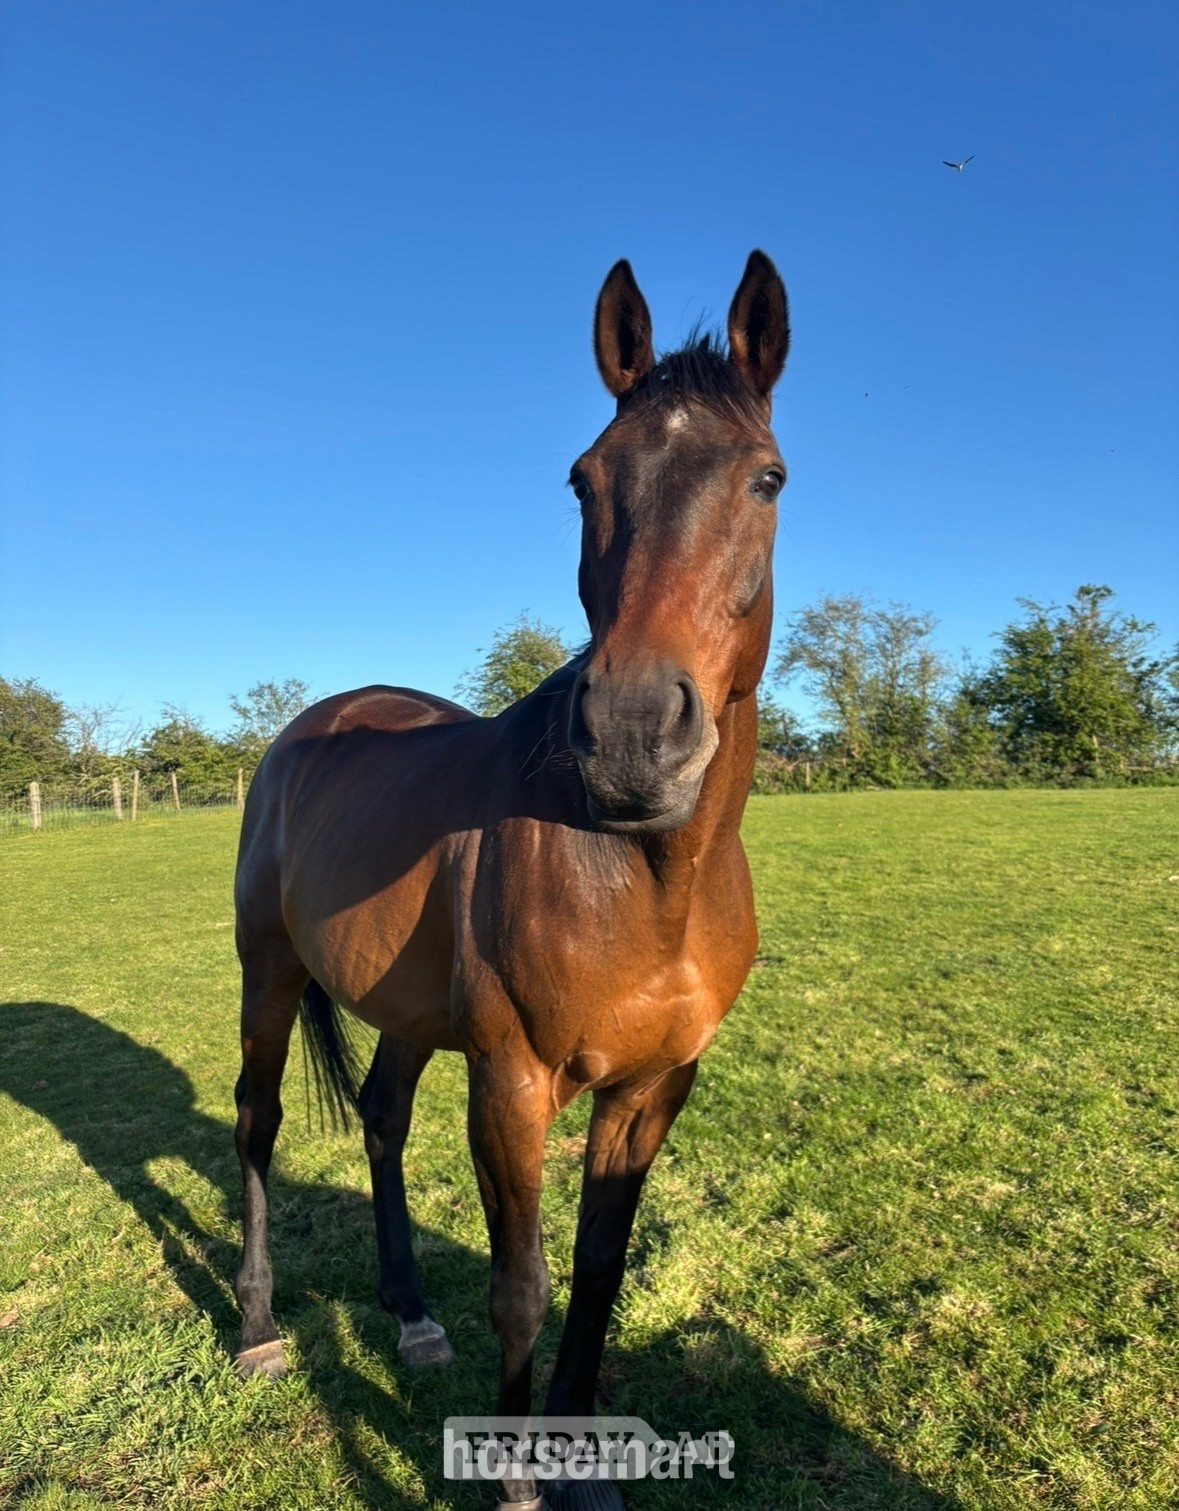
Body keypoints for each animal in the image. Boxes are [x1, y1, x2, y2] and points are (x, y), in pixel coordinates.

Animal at [232, 249, 790, 1509]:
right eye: (584, 479)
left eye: (767, 478)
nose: (633, 733)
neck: (640, 873)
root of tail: (313, 725)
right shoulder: (512, 1082)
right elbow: (524, 1283)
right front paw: (521, 1478)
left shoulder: (651, 1090)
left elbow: (598, 1270)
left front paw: (585, 1466)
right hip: (270, 974)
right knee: (257, 1120)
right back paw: (255, 1325)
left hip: (405, 1011)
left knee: (381, 1116)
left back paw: (408, 1312)